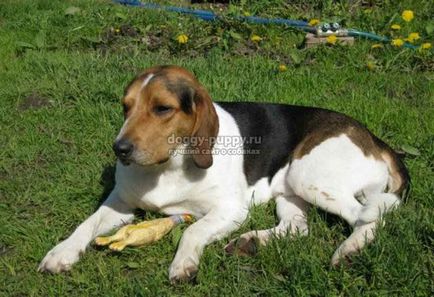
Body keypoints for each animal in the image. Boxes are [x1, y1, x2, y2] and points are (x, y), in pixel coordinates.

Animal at [39, 64, 408, 280]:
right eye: (125, 107)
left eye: (163, 109)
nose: (120, 149)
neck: (169, 165)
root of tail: (377, 140)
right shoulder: (120, 203)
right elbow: (86, 225)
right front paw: (61, 253)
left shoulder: (230, 210)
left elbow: (192, 230)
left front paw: (183, 264)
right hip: (289, 189)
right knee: (297, 228)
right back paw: (250, 243)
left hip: (309, 177)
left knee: (368, 216)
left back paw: (349, 250)